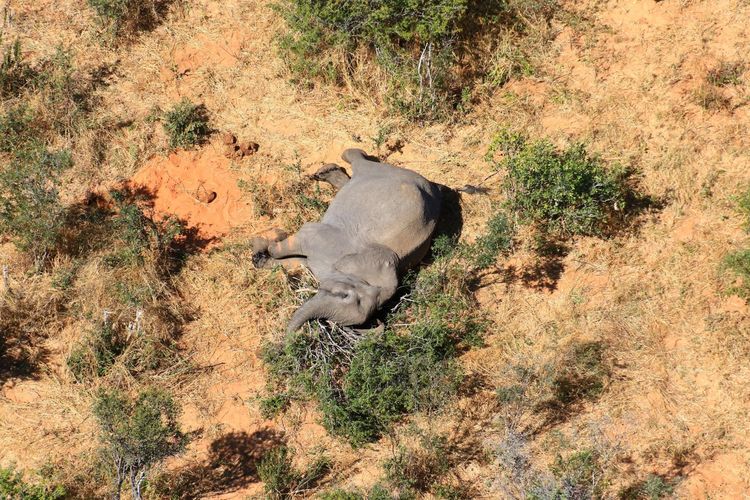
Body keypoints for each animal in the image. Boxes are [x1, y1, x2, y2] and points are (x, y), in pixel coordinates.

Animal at [253, 147, 444, 332]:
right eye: (344, 295)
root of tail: (429, 184)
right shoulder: (324, 239)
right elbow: (291, 245)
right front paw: (261, 247)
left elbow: (298, 262)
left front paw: (259, 257)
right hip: (381, 172)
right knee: (357, 159)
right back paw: (327, 170)